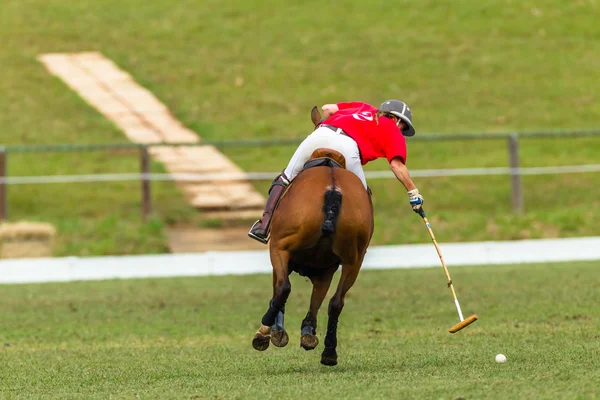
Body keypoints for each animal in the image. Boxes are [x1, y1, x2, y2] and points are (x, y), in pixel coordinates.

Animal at [251, 108, 372, 366]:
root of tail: (333, 189)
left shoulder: (280, 253)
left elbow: (278, 290)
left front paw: (275, 332)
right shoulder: (325, 270)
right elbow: (318, 300)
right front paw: (308, 333)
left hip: (280, 247)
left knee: (284, 288)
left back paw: (262, 332)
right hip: (353, 260)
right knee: (337, 302)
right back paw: (329, 352)